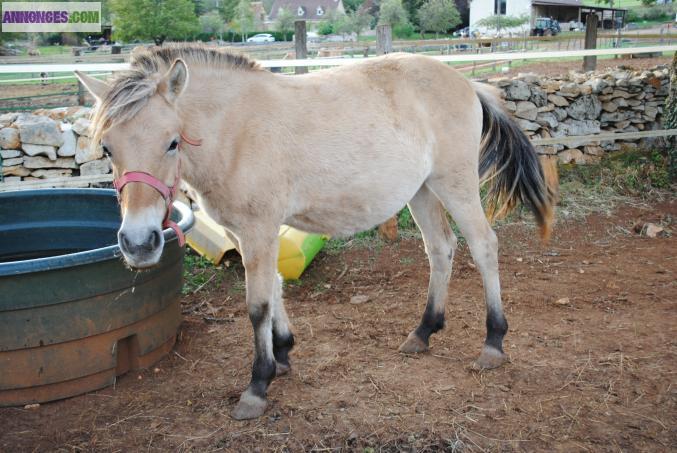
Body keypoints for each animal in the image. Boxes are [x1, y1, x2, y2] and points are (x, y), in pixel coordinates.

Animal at [76, 44, 552, 418]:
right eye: (108, 148)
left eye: (172, 142)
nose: (139, 244)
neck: (236, 128)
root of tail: (468, 84)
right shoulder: (249, 232)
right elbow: (275, 288)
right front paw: (284, 352)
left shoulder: (259, 229)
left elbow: (258, 305)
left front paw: (258, 384)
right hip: (420, 190)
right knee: (440, 248)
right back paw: (423, 331)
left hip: (455, 184)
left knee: (483, 246)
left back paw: (493, 342)